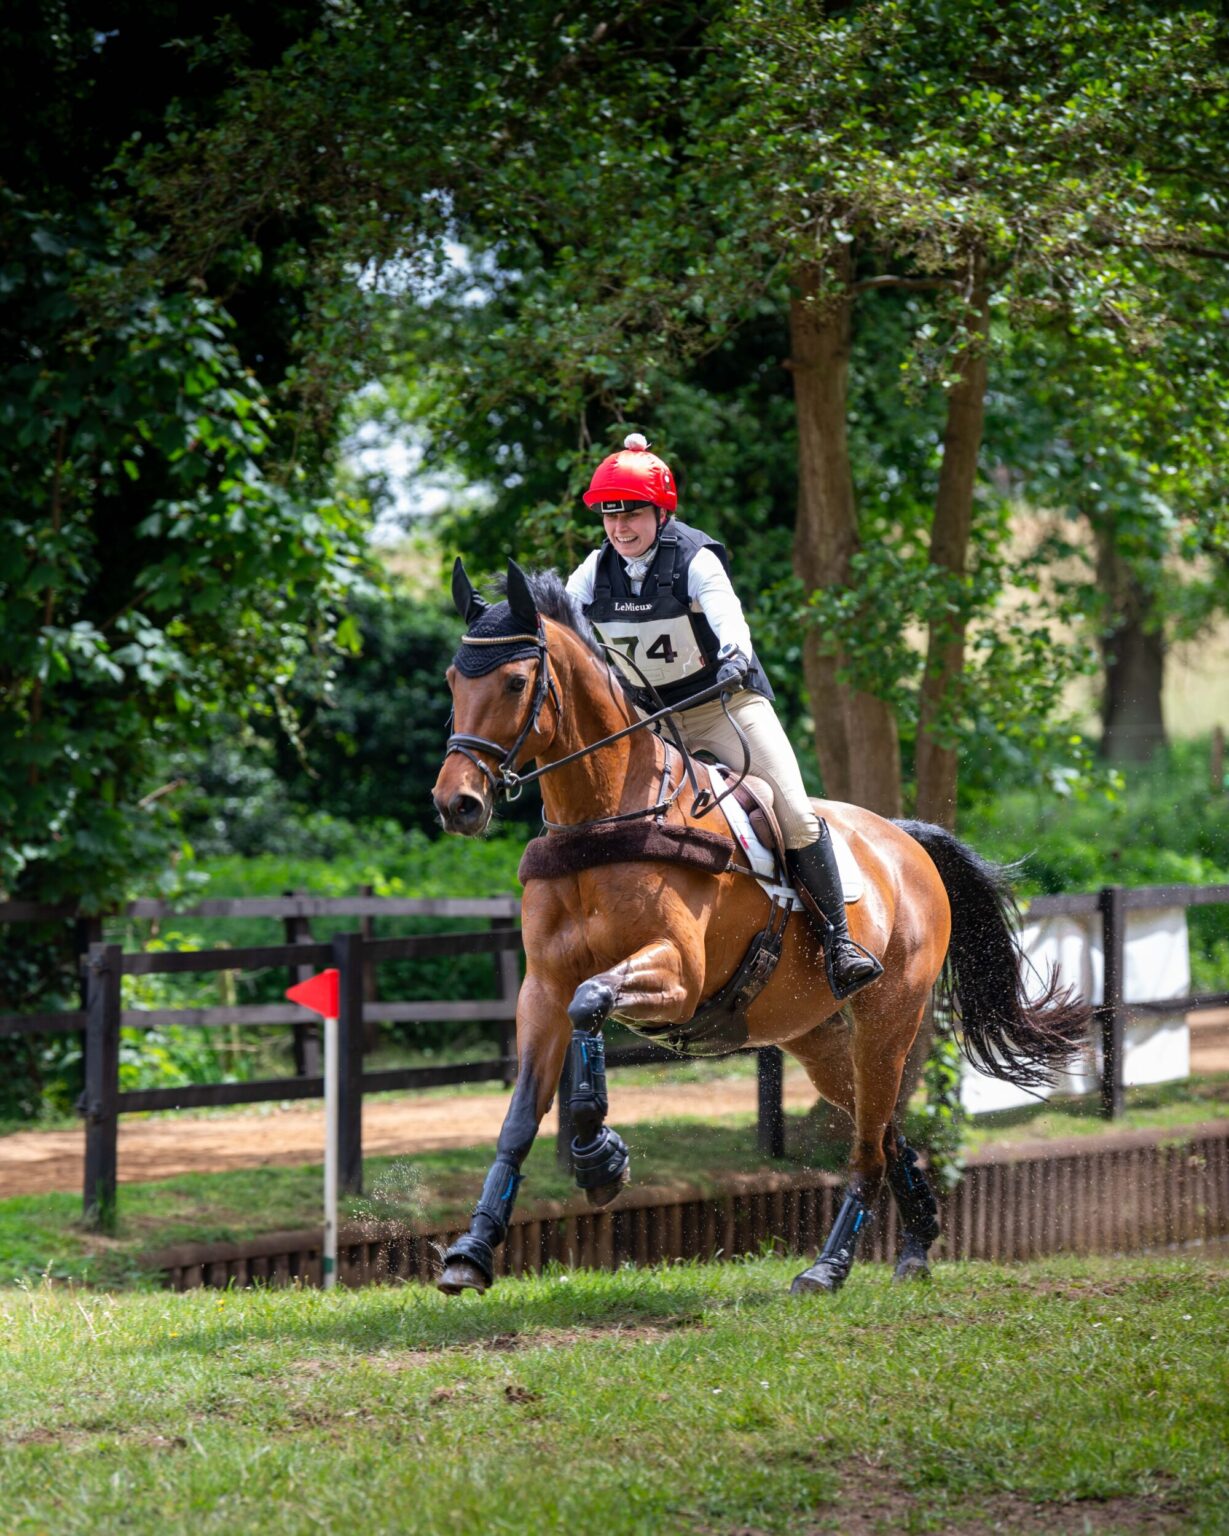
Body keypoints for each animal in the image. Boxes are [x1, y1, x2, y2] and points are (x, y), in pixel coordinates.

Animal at [430, 559, 1089, 1297]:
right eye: (454, 680)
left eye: (516, 682)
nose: (456, 803)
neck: (604, 819)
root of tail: (905, 841)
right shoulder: (540, 989)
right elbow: (520, 1115)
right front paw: (473, 1249)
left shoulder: (677, 978)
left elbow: (591, 1002)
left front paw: (600, 1157)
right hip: (819, 1039)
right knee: (882, 1128)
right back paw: (917, 1244)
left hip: (888, 1017)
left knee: (866, 1144)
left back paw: (828, 1267)